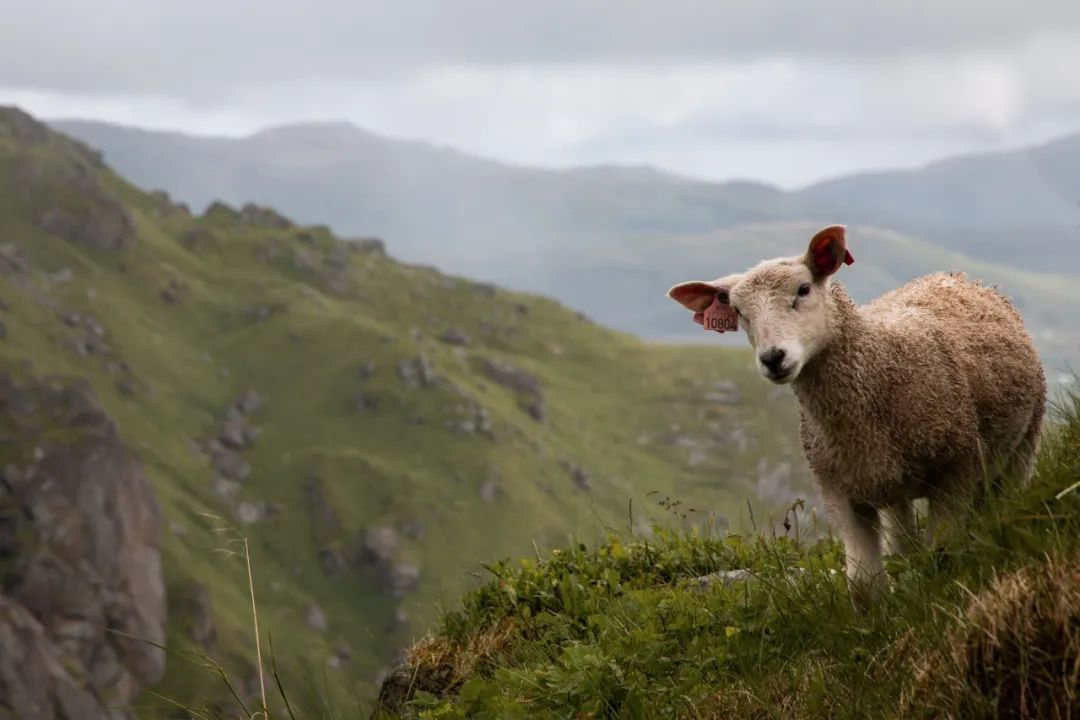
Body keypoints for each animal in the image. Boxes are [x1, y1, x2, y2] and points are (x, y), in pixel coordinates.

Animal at [665, 223, 1045, 604]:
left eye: (803, 290)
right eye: (740, 312)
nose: (772, 358)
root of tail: (953, 276)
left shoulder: (957, 468)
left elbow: (943, 555)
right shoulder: (840, 490)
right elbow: (864, 585)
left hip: (1024, 441)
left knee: (1006, 497)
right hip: (890, 484)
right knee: (903, 541)